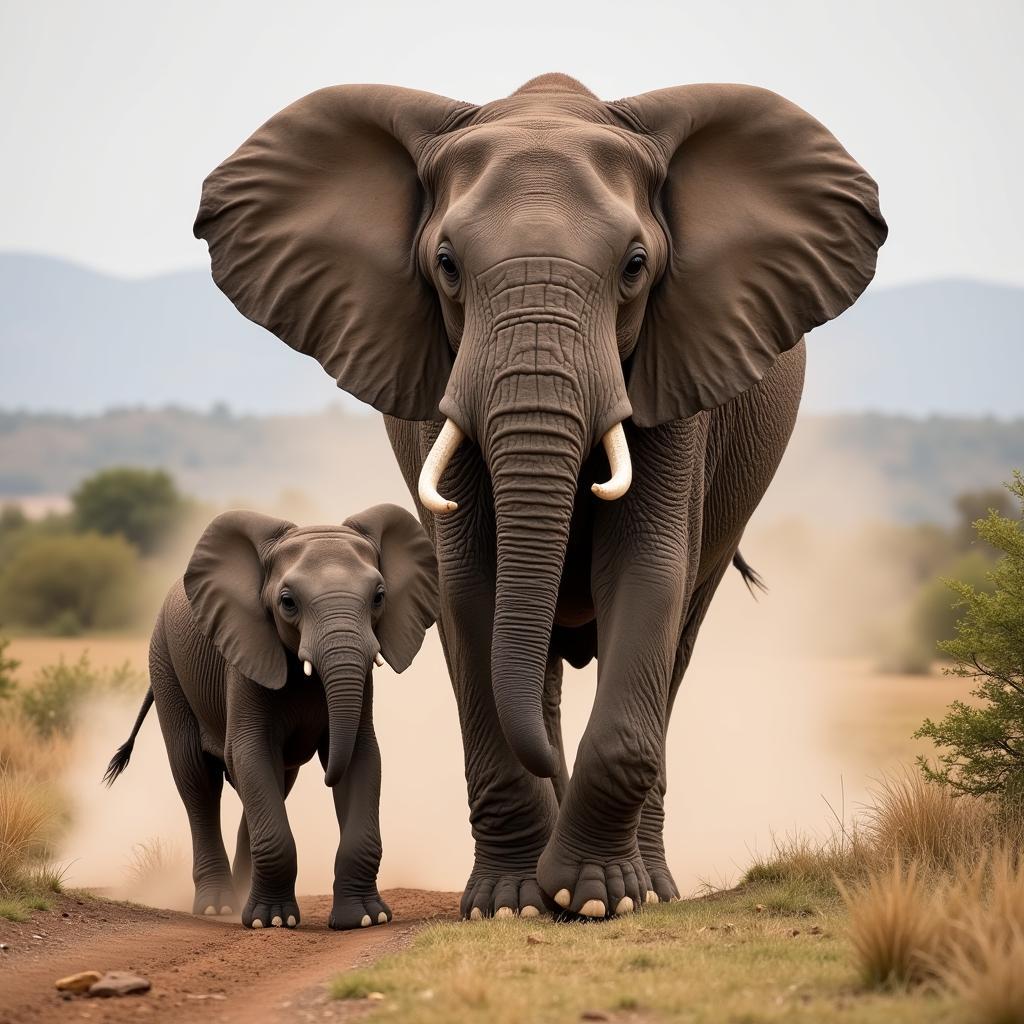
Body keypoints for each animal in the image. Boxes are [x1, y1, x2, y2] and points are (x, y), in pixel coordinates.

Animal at [104, 501, 440, 929]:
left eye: (379, 597)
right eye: (288, 602)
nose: (326, 773)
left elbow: (364, 756)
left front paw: (365, 919)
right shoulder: (244, 654)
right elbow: (250, 753)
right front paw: (273, 922)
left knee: (275, 782)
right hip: (166, 665)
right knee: (197, 780)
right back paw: (219, 906)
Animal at [195, 72, 884, 921]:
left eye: (634, 266)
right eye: (447, 264)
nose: (560, 891)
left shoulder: (677, 374)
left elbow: (648, 573)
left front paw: (596, 898)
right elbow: (472, 589)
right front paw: (513, 903)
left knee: (677, 643)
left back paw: (650, 888)